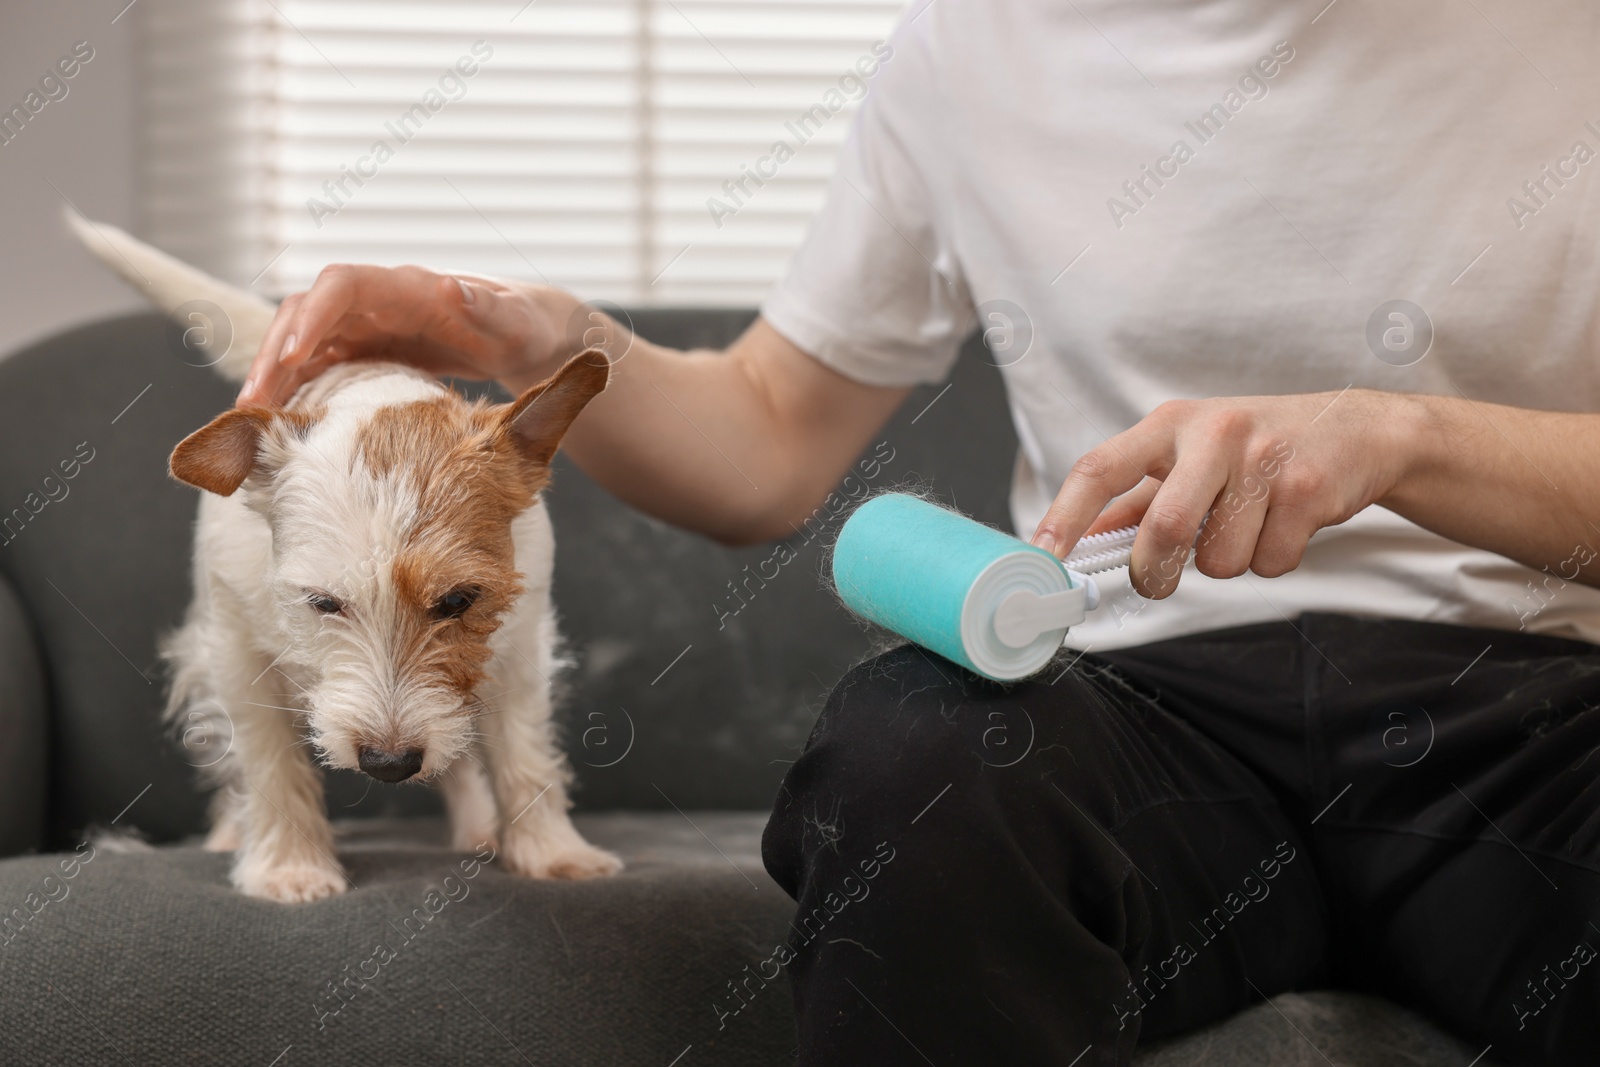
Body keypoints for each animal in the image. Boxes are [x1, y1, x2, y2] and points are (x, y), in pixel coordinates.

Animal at [73, 214, 624, 902]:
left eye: (459, 600)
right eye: (323, 603)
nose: (389, 764)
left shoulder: (517, 648)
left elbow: (523, 753)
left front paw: (552, 852)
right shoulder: (236, 655)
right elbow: (270, 763)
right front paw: (290, 867)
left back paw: (478, 825)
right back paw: (233, 833)